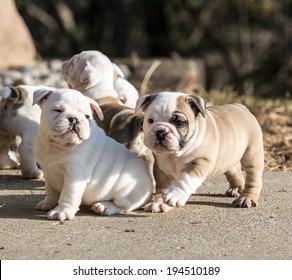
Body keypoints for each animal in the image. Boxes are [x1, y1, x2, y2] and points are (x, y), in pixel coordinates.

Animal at [33, 87, 153, 221]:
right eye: (58, 110)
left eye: (87, 116)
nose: (74, 119)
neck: (57, 145)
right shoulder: (49, 173)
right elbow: (51, 191)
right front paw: (48, 203)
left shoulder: (74, 176)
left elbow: (68, 195)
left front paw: (62, 211)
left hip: (125, 191)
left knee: (123, 206)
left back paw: (104, 206)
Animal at [136, 92, 264, 212]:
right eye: (150, 121)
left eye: (179, 122)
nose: (160, 132)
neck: (174, 154)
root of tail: (241, 106)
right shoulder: (161, 170)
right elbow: (162, 185)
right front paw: (159, 203)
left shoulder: (200, 162)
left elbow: (185, 179)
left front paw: (175, 194)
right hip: (229, 158)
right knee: (234, 170)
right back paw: (236, 188)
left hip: (252, 156)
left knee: (253, 179)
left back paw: (246, 198)